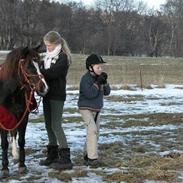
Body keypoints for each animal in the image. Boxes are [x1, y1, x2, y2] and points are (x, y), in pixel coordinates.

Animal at [0, 46, 48, 178]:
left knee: (13, 134)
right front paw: (4, 168)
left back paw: (15, 153)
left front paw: (22, 165)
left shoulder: (22, 117)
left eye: (40, 64)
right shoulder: (3, 119)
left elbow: (21, 140)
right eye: (28, 66)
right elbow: (4, 143)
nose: (44, 88)